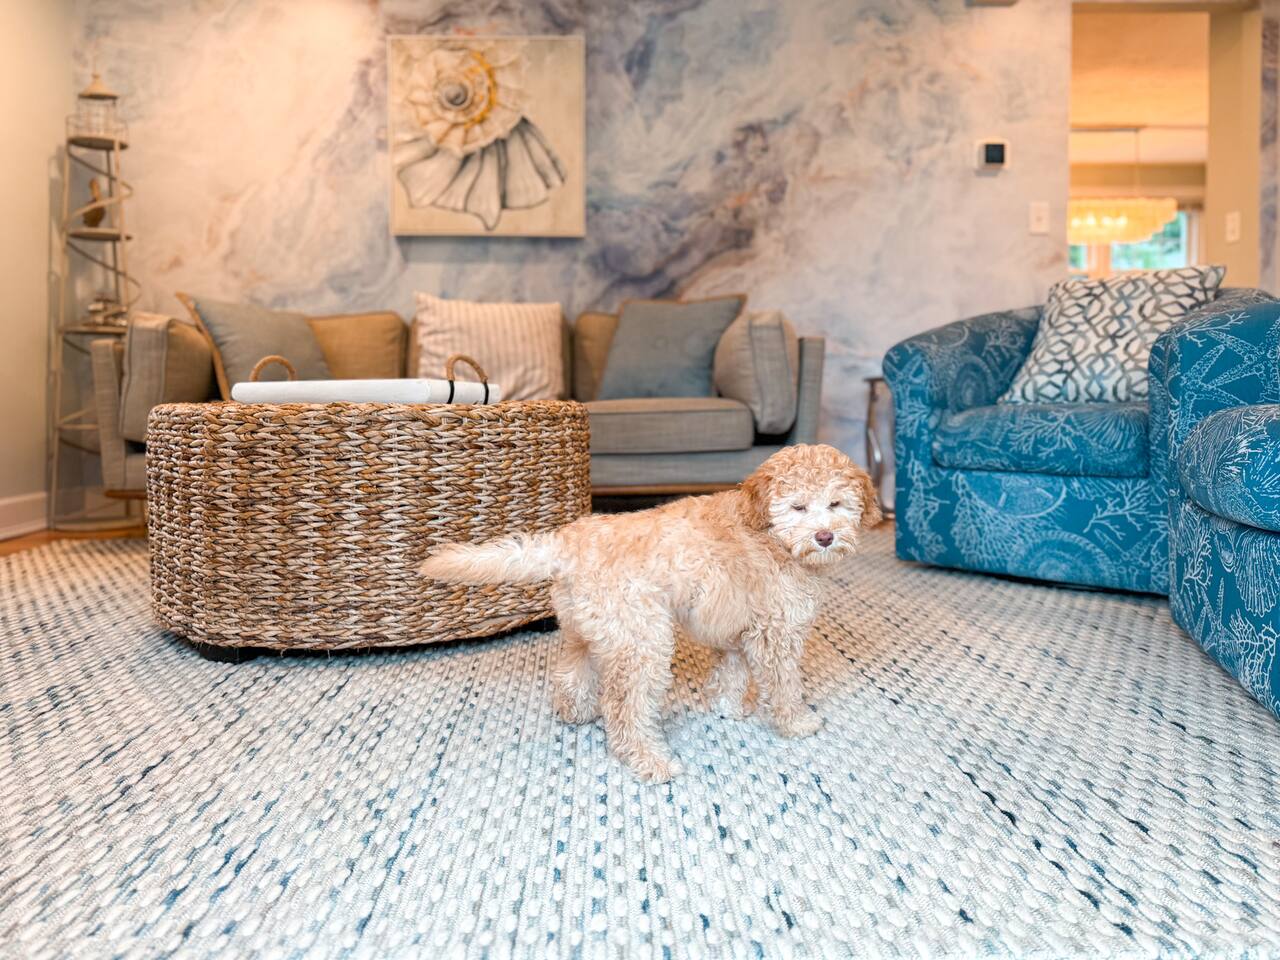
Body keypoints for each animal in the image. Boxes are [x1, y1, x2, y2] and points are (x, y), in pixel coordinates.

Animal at [420, 443, 882, 782]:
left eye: (836, 503)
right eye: (798, 507)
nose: (825, 536)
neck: (768, 532)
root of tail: (567, 545)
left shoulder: (737, 627)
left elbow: (732, 672)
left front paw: (728, 707)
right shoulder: (777, 633)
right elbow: (784, 685)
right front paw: (796, 723)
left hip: (588, 629)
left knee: (572, 671)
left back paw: (576, 712)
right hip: (642, 643)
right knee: (625, 709)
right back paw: (651, 761)